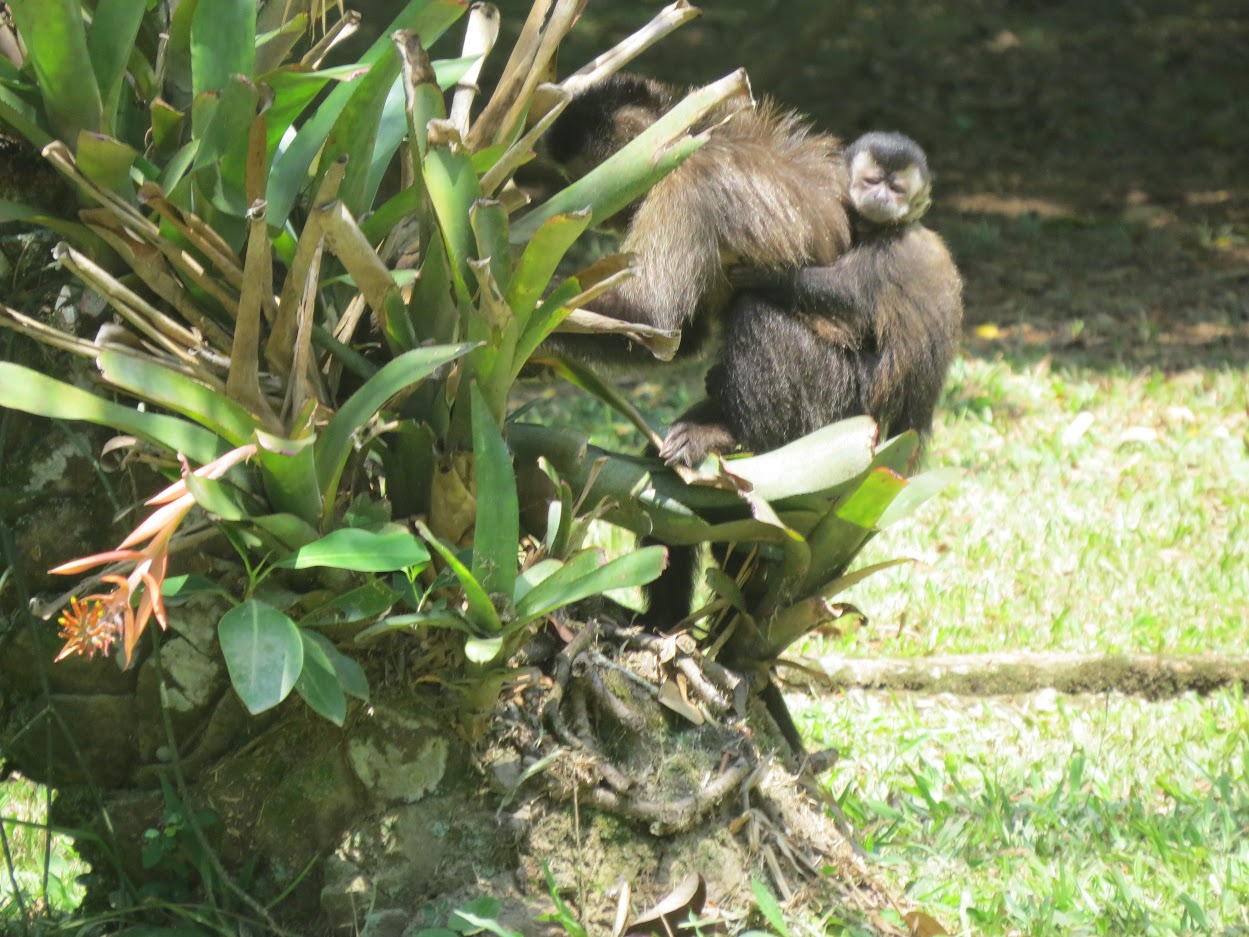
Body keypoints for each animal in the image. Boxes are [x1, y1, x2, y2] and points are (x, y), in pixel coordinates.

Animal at [664, 130, 964, 467]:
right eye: (873, 181)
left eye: (897, 189)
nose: (882, 197)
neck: (886, 228)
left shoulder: (888, 252)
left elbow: (846, 294)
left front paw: (763, 276)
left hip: (854, 397)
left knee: (754, 312)